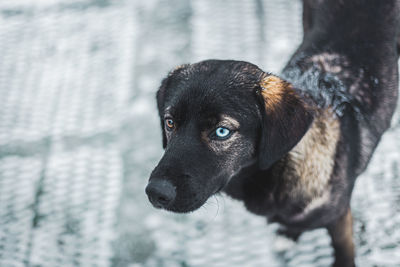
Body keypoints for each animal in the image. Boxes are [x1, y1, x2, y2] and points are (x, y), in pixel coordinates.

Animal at [145, 1, 398, 266]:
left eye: (222, 131)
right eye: (170, 122)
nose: (156, 192)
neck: (278, 170)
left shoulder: (339, 219)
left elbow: (343, 252)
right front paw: (289, 233)